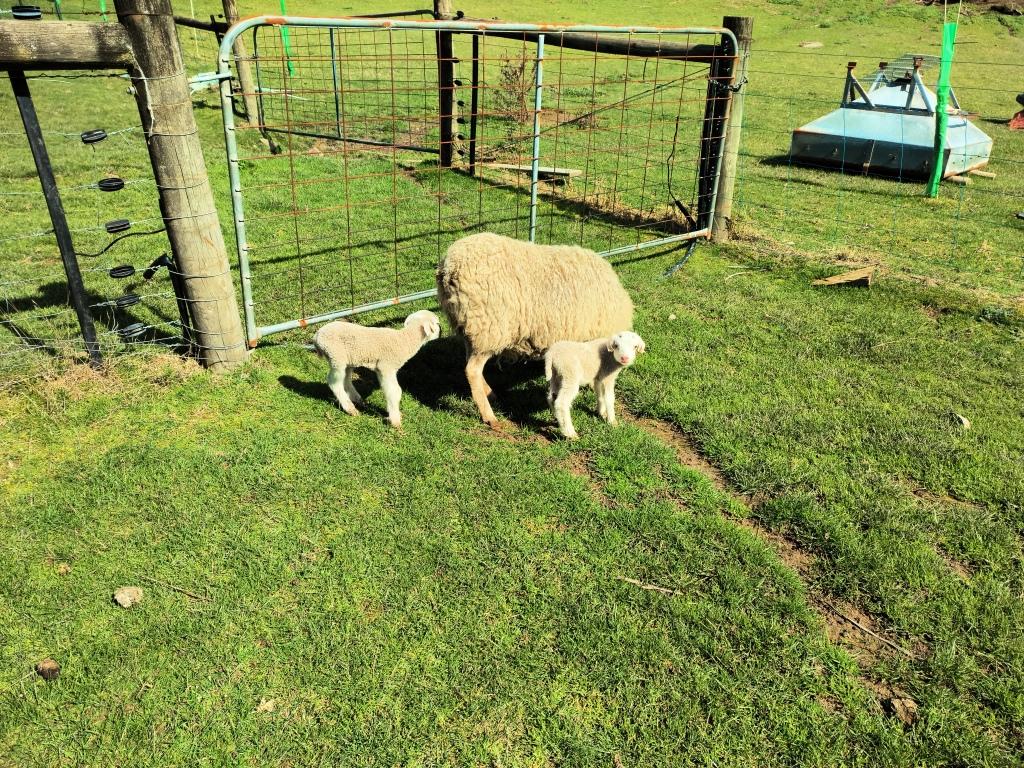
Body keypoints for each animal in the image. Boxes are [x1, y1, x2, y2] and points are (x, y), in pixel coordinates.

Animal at [310, 309, 440, 428]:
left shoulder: (385, 369)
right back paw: (350, 408)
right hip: (336, 357)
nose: (441, 330)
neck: (405, 340)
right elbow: (394, 392)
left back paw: (357, 399)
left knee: (346, 380)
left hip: (348, 360)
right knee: (334, 382)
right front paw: (395, 421)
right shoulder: (386, 367)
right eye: (437, 323)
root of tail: (316, 337)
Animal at [436, 232, 634, 427]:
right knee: (472, 370)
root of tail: (450, 267)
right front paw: (605, 413)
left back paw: (490, 393)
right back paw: (489, 416)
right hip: (490, 328)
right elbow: (601, 385)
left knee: (469, 362)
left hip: (472, 329)